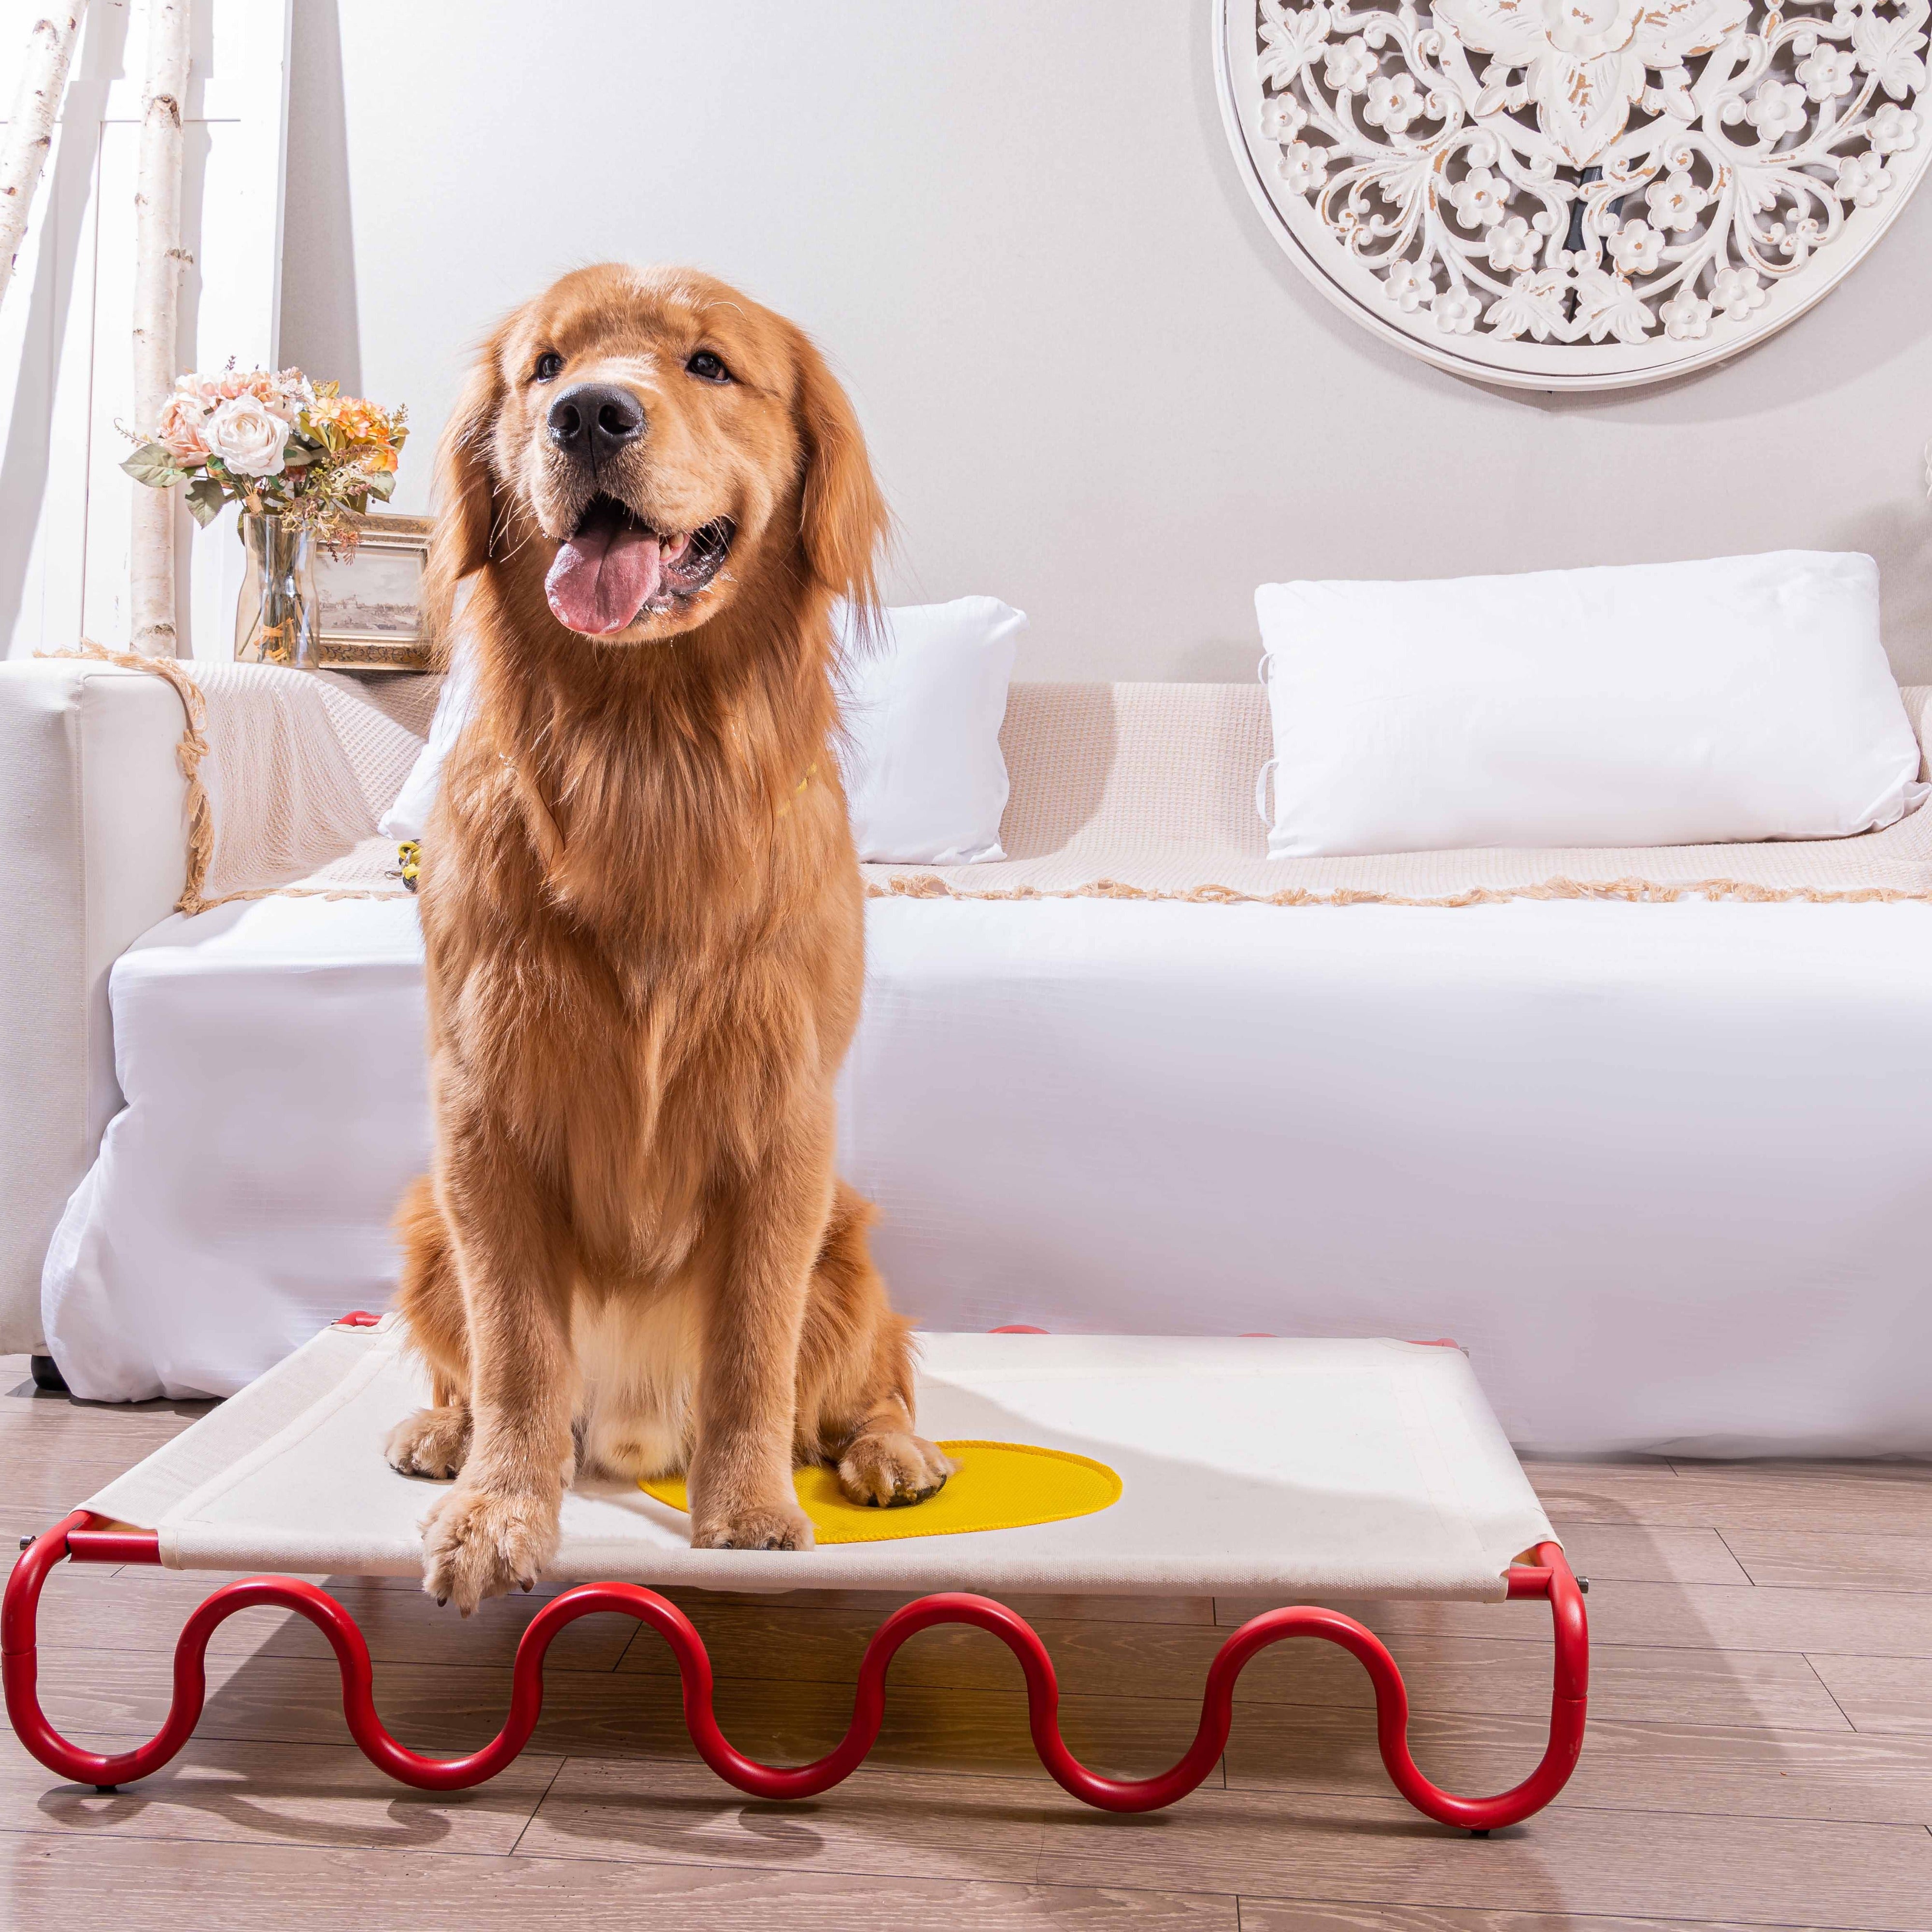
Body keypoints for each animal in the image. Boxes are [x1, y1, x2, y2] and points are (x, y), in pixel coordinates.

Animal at [383, 265, 951, 1607]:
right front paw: (499, 1507)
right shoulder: (481, 1113)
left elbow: (752, 1348)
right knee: (466, 1365)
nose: (589, 414)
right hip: (425, 1218)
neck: (643, 753)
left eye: (707, 363)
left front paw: (746, 1510)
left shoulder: (784, 1119)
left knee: (876, 1377)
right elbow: (516, 1351)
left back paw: (890, 1451)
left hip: (848, 1239)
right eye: (542, 366)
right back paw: (440, 1430)